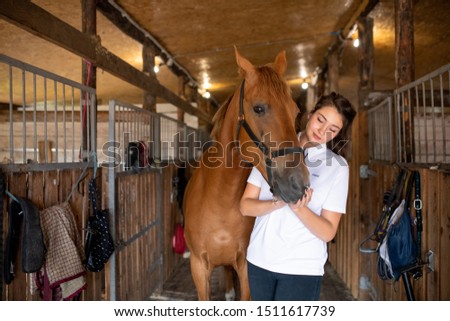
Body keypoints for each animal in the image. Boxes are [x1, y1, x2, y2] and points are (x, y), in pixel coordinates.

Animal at [183, 48, 310, 300]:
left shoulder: (246, 267)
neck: (221, 200)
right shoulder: (198, 268)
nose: (298, 183)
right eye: (259, 108)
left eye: (295, 111)